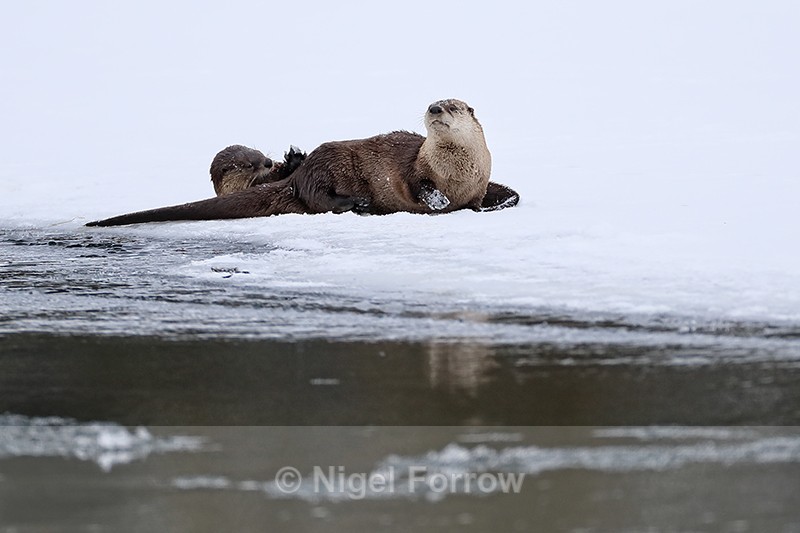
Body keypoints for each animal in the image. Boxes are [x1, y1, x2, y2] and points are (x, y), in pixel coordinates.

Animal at [86, 99, 519, 226]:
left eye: (452, 106)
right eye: (433, 102)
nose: (433, 108)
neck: (458, 171)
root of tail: (305, 170)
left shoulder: (481, 179)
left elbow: (500, 194)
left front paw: (488, 206)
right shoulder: (415, 169)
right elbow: (418, 185)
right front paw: (437, 202)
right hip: (329, 165)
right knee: (317, 198)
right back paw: (358, 204)